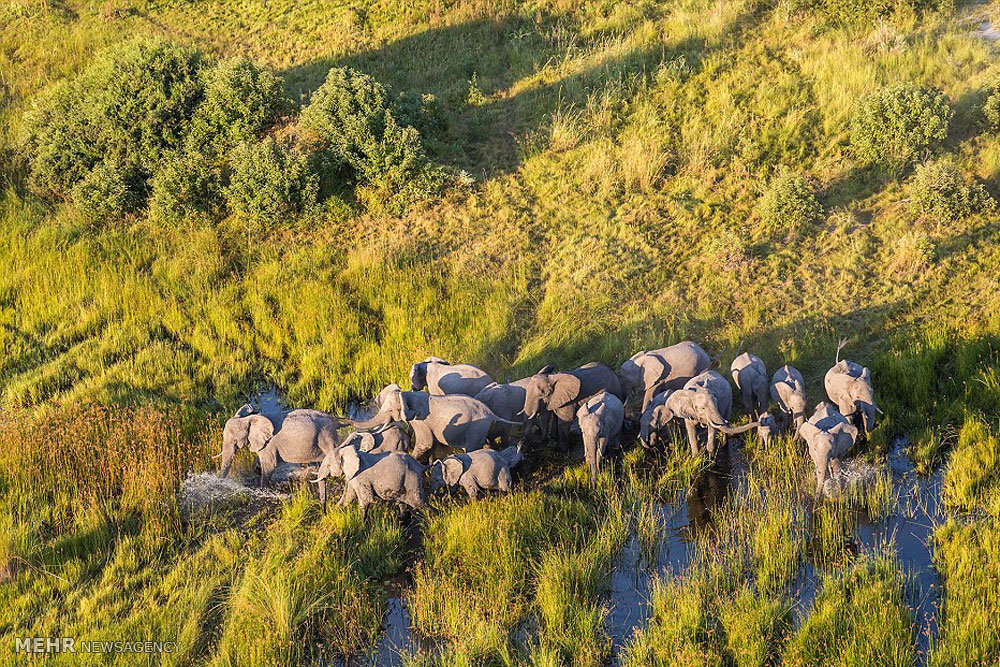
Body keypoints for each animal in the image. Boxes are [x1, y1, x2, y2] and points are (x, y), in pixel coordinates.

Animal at [215, 408, 344, 506]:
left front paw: (264, 490)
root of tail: (333, 420)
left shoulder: (269, 443)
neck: (250, 418)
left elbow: (269, 465)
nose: (220, 483)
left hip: (327, 437)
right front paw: (259, 472)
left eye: (235, 440)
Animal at [348, 386, 520, 460]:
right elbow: (432, 445)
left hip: (475, 428)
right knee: (487, 443)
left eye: (390, 410)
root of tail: (490, 412)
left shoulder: (421, 420)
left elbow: (426, 443)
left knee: (473, 448)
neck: (408, 395)